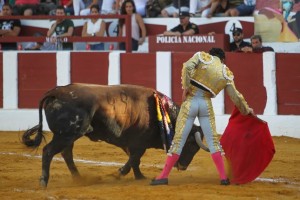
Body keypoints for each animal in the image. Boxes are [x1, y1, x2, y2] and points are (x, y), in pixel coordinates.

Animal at [22, 83, 209, 187]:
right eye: (191, 145)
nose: (183, 167)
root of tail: (57, 92)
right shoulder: (138, 143)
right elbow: (134, 159)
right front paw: (119, 173)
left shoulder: (131, 143)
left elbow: (135, 160)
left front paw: (139, 177)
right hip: (66, 134)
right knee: (48, 151)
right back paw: (44, 181)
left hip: (68, 135)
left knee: (66, 154)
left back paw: (78, 178)